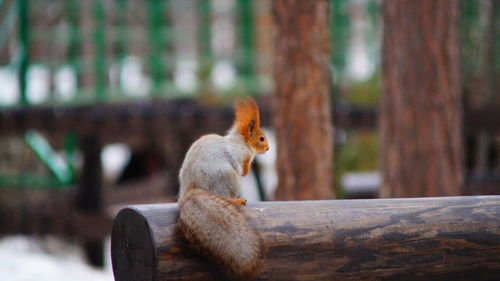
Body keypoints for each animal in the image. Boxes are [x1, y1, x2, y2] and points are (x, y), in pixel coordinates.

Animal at [177, 97, 270, 276]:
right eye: (261, 138)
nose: (268, 148)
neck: (241, 141)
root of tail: (189, 190)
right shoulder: (242, 155)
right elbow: (244, 164)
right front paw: (246, 172)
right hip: (229, 178)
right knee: (226, 196)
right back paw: (238, 200)